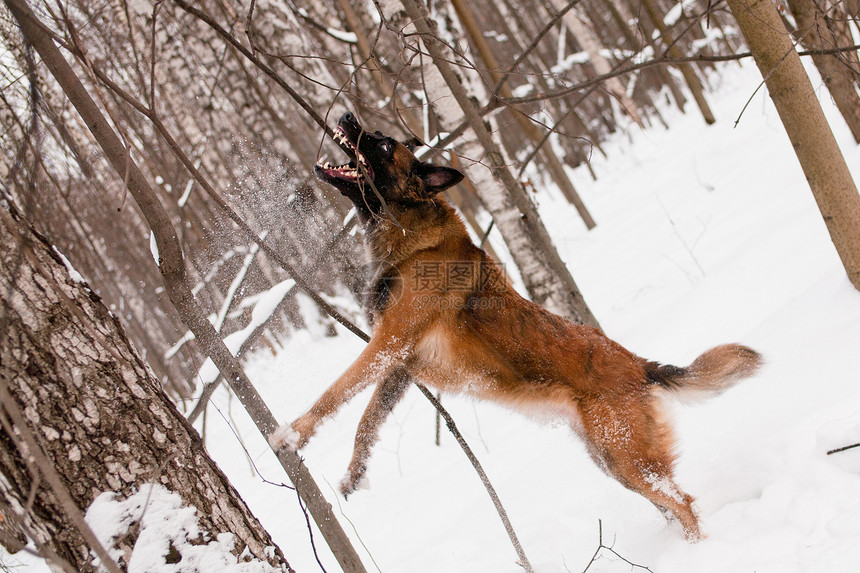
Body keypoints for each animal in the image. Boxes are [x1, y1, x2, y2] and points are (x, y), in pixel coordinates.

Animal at [272, 111, 764, 540]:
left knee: (683, 503)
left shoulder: (387, 344)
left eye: (382, 144)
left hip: (627, 459)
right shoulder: (400, 367)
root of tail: (638, 363)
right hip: (611, 460)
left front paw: (293, 434)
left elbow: (335, 392)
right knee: (670, 504)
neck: (411, 232)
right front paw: (354, 473)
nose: (347, 115)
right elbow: (366, 422)